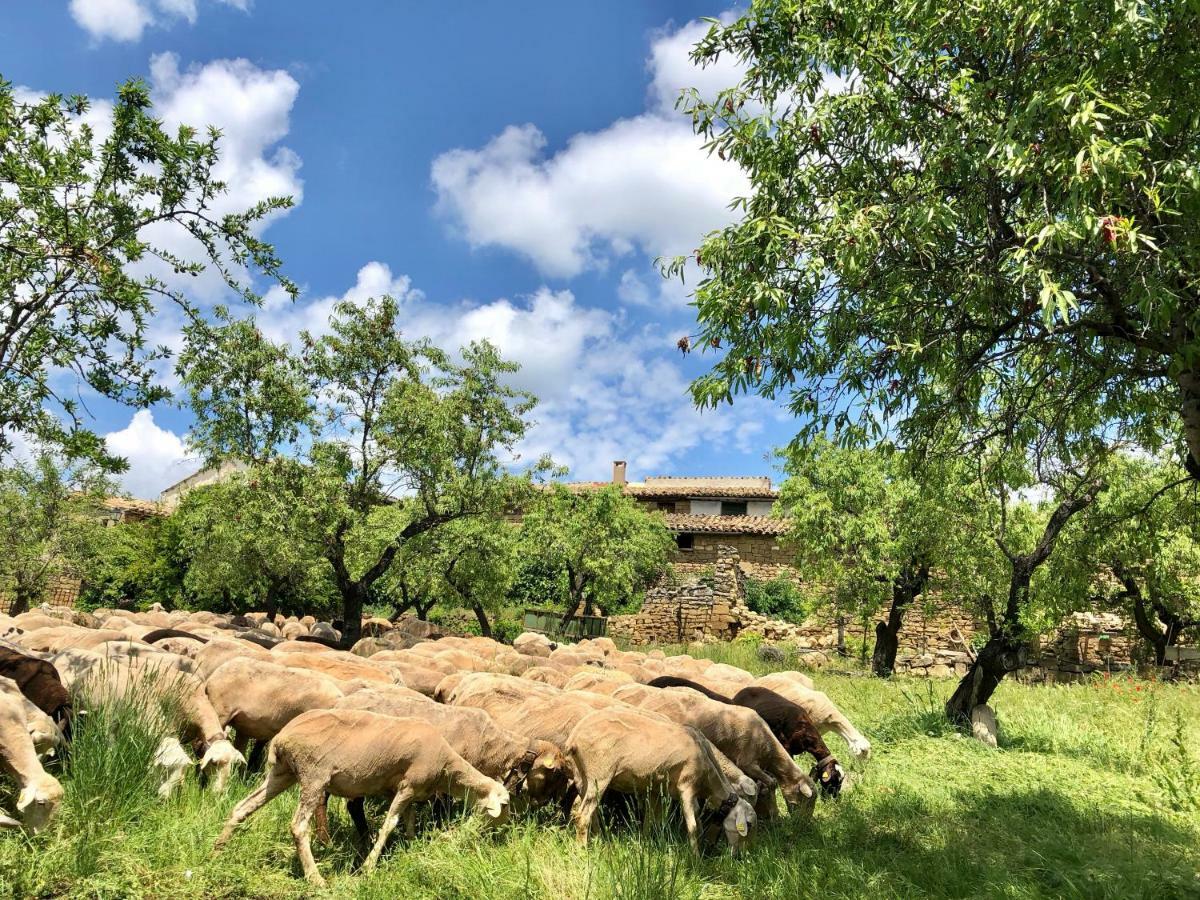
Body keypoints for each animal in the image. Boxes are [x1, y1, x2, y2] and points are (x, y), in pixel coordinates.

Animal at [213, 710, 508, 888]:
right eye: (504, 805)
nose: (498, 833)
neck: (447, 768)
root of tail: (282, 738)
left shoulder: (400, 789)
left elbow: (409, 820)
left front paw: (412, 847)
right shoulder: (407, 786)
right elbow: (389, 825)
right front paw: (368, 868)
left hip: (282, 773)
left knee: (242, 807)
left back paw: (219, 848)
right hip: (313, 775)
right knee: (298, 827)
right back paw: (316, 878)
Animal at [559, 710, 748, 854]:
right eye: (749, 825)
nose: (740, 856)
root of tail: (574, 737)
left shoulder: (657, 789)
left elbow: (651, 819)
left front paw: (645, 842)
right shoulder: (686, 785)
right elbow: (692, 825)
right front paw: (695, 858)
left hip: (583, 776)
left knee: (589, 811)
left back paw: (599, 839)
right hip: (600, 773)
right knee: (583, 815)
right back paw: (582, 850)